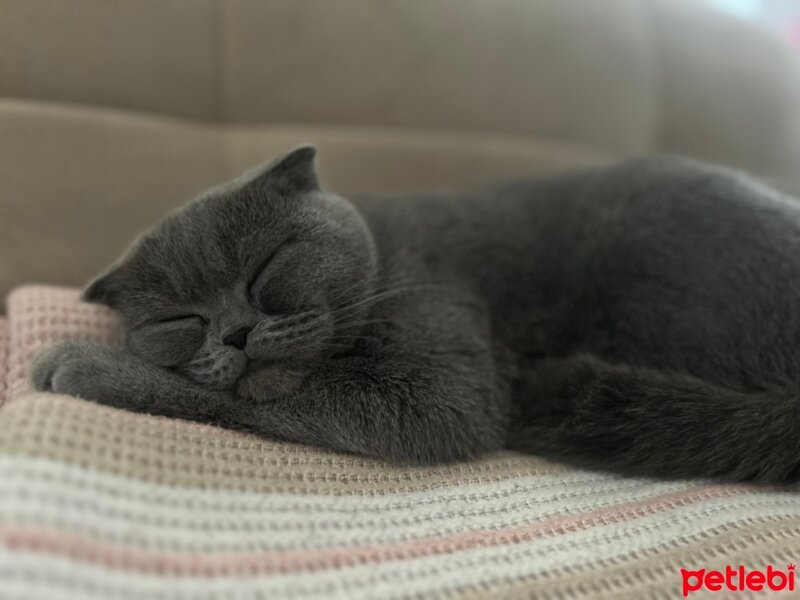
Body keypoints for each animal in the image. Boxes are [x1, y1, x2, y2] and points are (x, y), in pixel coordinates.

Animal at [31, 148, 800, 486]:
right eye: (178, 320)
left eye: (268, 266)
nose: (236, 332)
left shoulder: (438, 387)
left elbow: (240, 399)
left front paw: (80, 362)